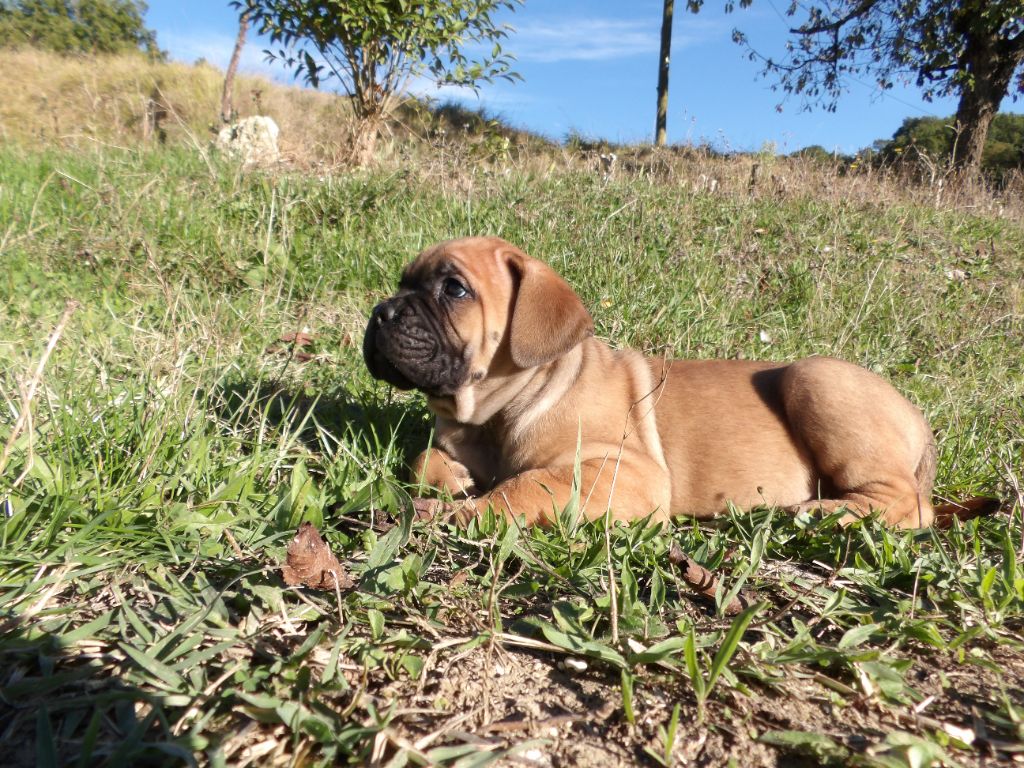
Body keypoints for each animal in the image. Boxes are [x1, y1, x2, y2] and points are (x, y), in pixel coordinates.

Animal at [366, 237, 974, 532]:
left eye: (454, 289)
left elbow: (528, 486)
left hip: (817, 377)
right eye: (401, 283)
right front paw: (455, 481)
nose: (382, 312)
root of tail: (919, 420)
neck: (494, 413)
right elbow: (423, 459)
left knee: (909, 506)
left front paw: (464, 510)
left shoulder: (625, 471)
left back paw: (818, 512)